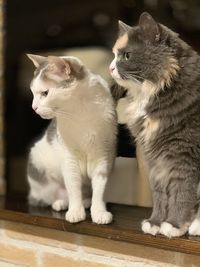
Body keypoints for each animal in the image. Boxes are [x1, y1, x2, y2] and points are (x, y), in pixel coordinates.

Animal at [27, 55, 117, 225]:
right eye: (33, 93)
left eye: (45, 93)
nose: (33, 108)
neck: (80, 111)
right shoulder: (69, 159)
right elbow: (74, 187)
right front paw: (76, 211)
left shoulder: (102, 156)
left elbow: (99, 190)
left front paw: (99, 212)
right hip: (38, 166)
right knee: (53, 196)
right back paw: (61, 203)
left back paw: (86, 201)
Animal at [110, 12, 200, 239]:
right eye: (114, 55)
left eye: (127, 56)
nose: (111, 68)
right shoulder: (154, 159)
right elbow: (160, 194)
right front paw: (156, 222)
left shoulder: (184, 156)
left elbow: (181, 192)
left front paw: (174, 225)